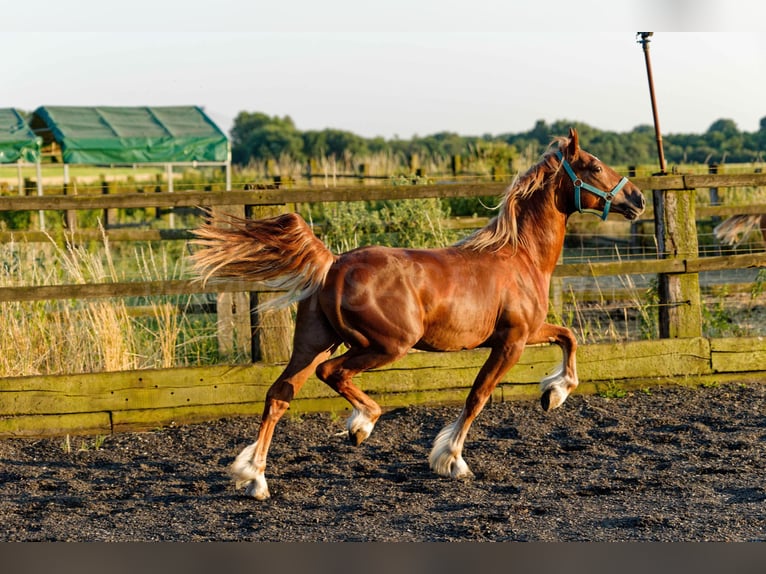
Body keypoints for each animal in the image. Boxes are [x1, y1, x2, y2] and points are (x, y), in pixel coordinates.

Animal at [191, 128, 645, 500]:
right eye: (594, 166)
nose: (637, 199)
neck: (520, 256)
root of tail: (334, 263)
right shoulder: (511, 342)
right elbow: (478, 396)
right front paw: (453, 460)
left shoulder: (526, 331)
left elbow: (568, 336)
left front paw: (554, 394)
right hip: (385, 345)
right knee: (332, 374)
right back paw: (361, 424)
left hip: (314, 342)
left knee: (278, 396)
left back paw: (256, 478)